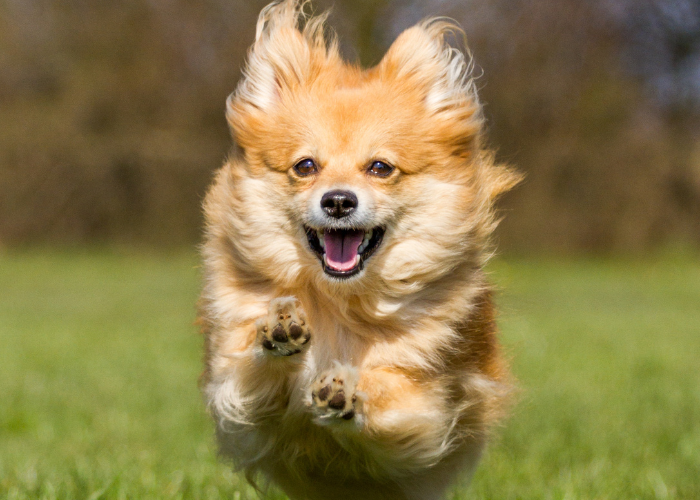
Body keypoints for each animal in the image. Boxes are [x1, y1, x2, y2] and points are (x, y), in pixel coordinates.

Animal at [200, 1, 516, 498]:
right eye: (305, 166)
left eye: (380, 168)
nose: (338, 200)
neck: (338, 302)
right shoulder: (238, 404)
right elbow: (254, 372)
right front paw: (279, 330)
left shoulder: (425, 414)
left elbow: (386, 388)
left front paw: (346, 390)